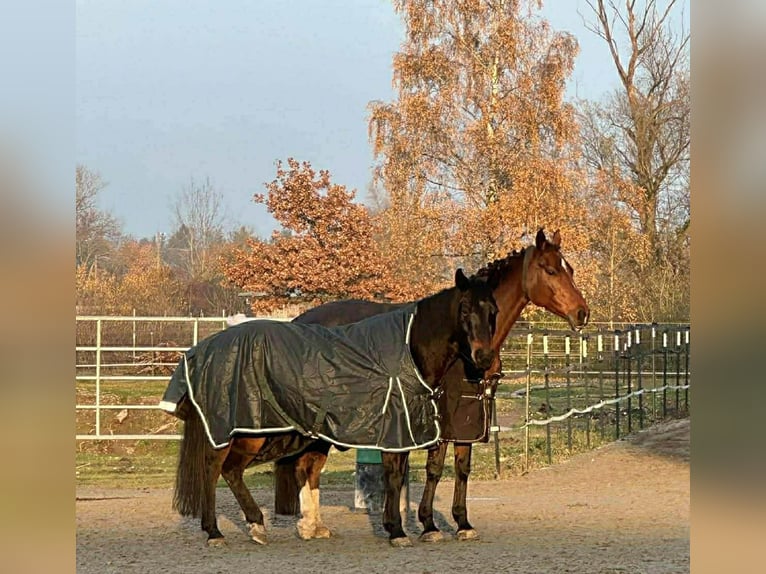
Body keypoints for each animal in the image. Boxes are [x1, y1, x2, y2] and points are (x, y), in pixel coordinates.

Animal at [162, 268, 499, 547]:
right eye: (465, 309)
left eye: (493, 311)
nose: (483, 358)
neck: (409, 350)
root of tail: (202, 349)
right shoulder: (394, 429)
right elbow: (393, 476)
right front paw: (397, 530)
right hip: (239, 429)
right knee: (217, 469)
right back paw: (219, 531)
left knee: (231, 470)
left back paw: (257, 525)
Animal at [277, 228, 589, 545]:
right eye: (550, 269)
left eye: (570, 270)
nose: (582, 312)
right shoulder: (441, 422)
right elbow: (434, 469)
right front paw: (427, 525)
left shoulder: (467, 420)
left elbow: (462, 468)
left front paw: (462, 523)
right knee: (306, 466)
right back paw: (308, 525)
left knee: (310, 466)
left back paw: (314, 526)